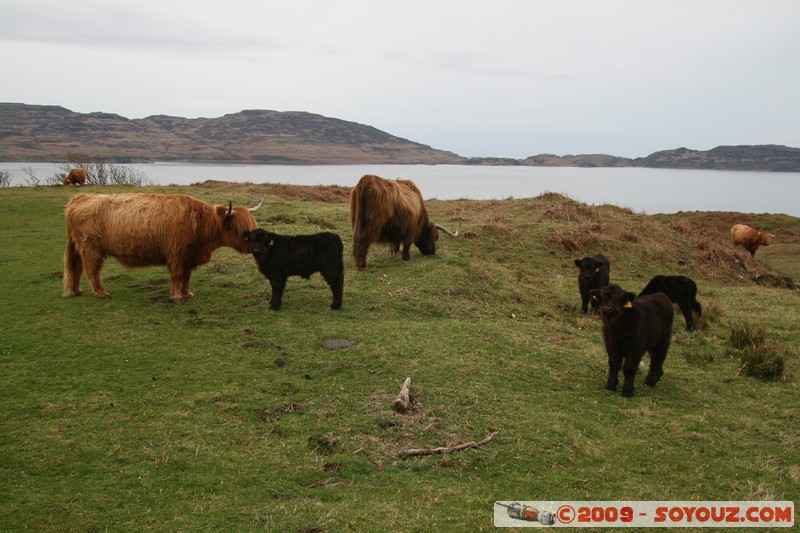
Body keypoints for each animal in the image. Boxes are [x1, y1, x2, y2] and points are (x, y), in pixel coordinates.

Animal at [63, 194, 262, 304]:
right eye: (242, 231)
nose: (255, 249)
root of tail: (79, 198)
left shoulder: (189, 256)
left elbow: (186, 277)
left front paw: (188, 293)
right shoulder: (175, 254)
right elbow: (177, 276)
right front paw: (176, 297)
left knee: (77, 268)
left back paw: (76, 290)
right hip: (91, 248)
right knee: (92, 270)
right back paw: (102, 293)